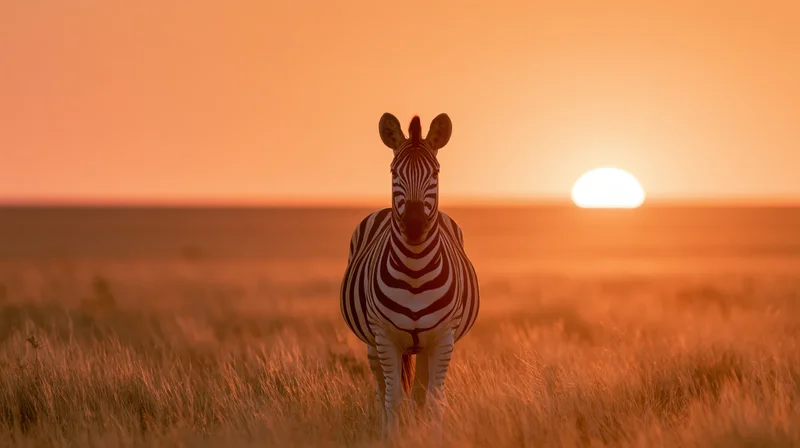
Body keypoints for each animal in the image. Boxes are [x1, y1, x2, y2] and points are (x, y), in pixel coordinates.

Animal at [340, 112, 480, 442]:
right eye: (394, 172)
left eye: (436, 172)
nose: (415, 225)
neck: (415, 271)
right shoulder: (384, 336)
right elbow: (392, 399)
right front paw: (391, 440)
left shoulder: (443, 337)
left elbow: (434, 399)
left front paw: (432, 439)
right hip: (372, 344)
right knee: (382, 392)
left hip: (426, 346)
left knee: (419, 393)